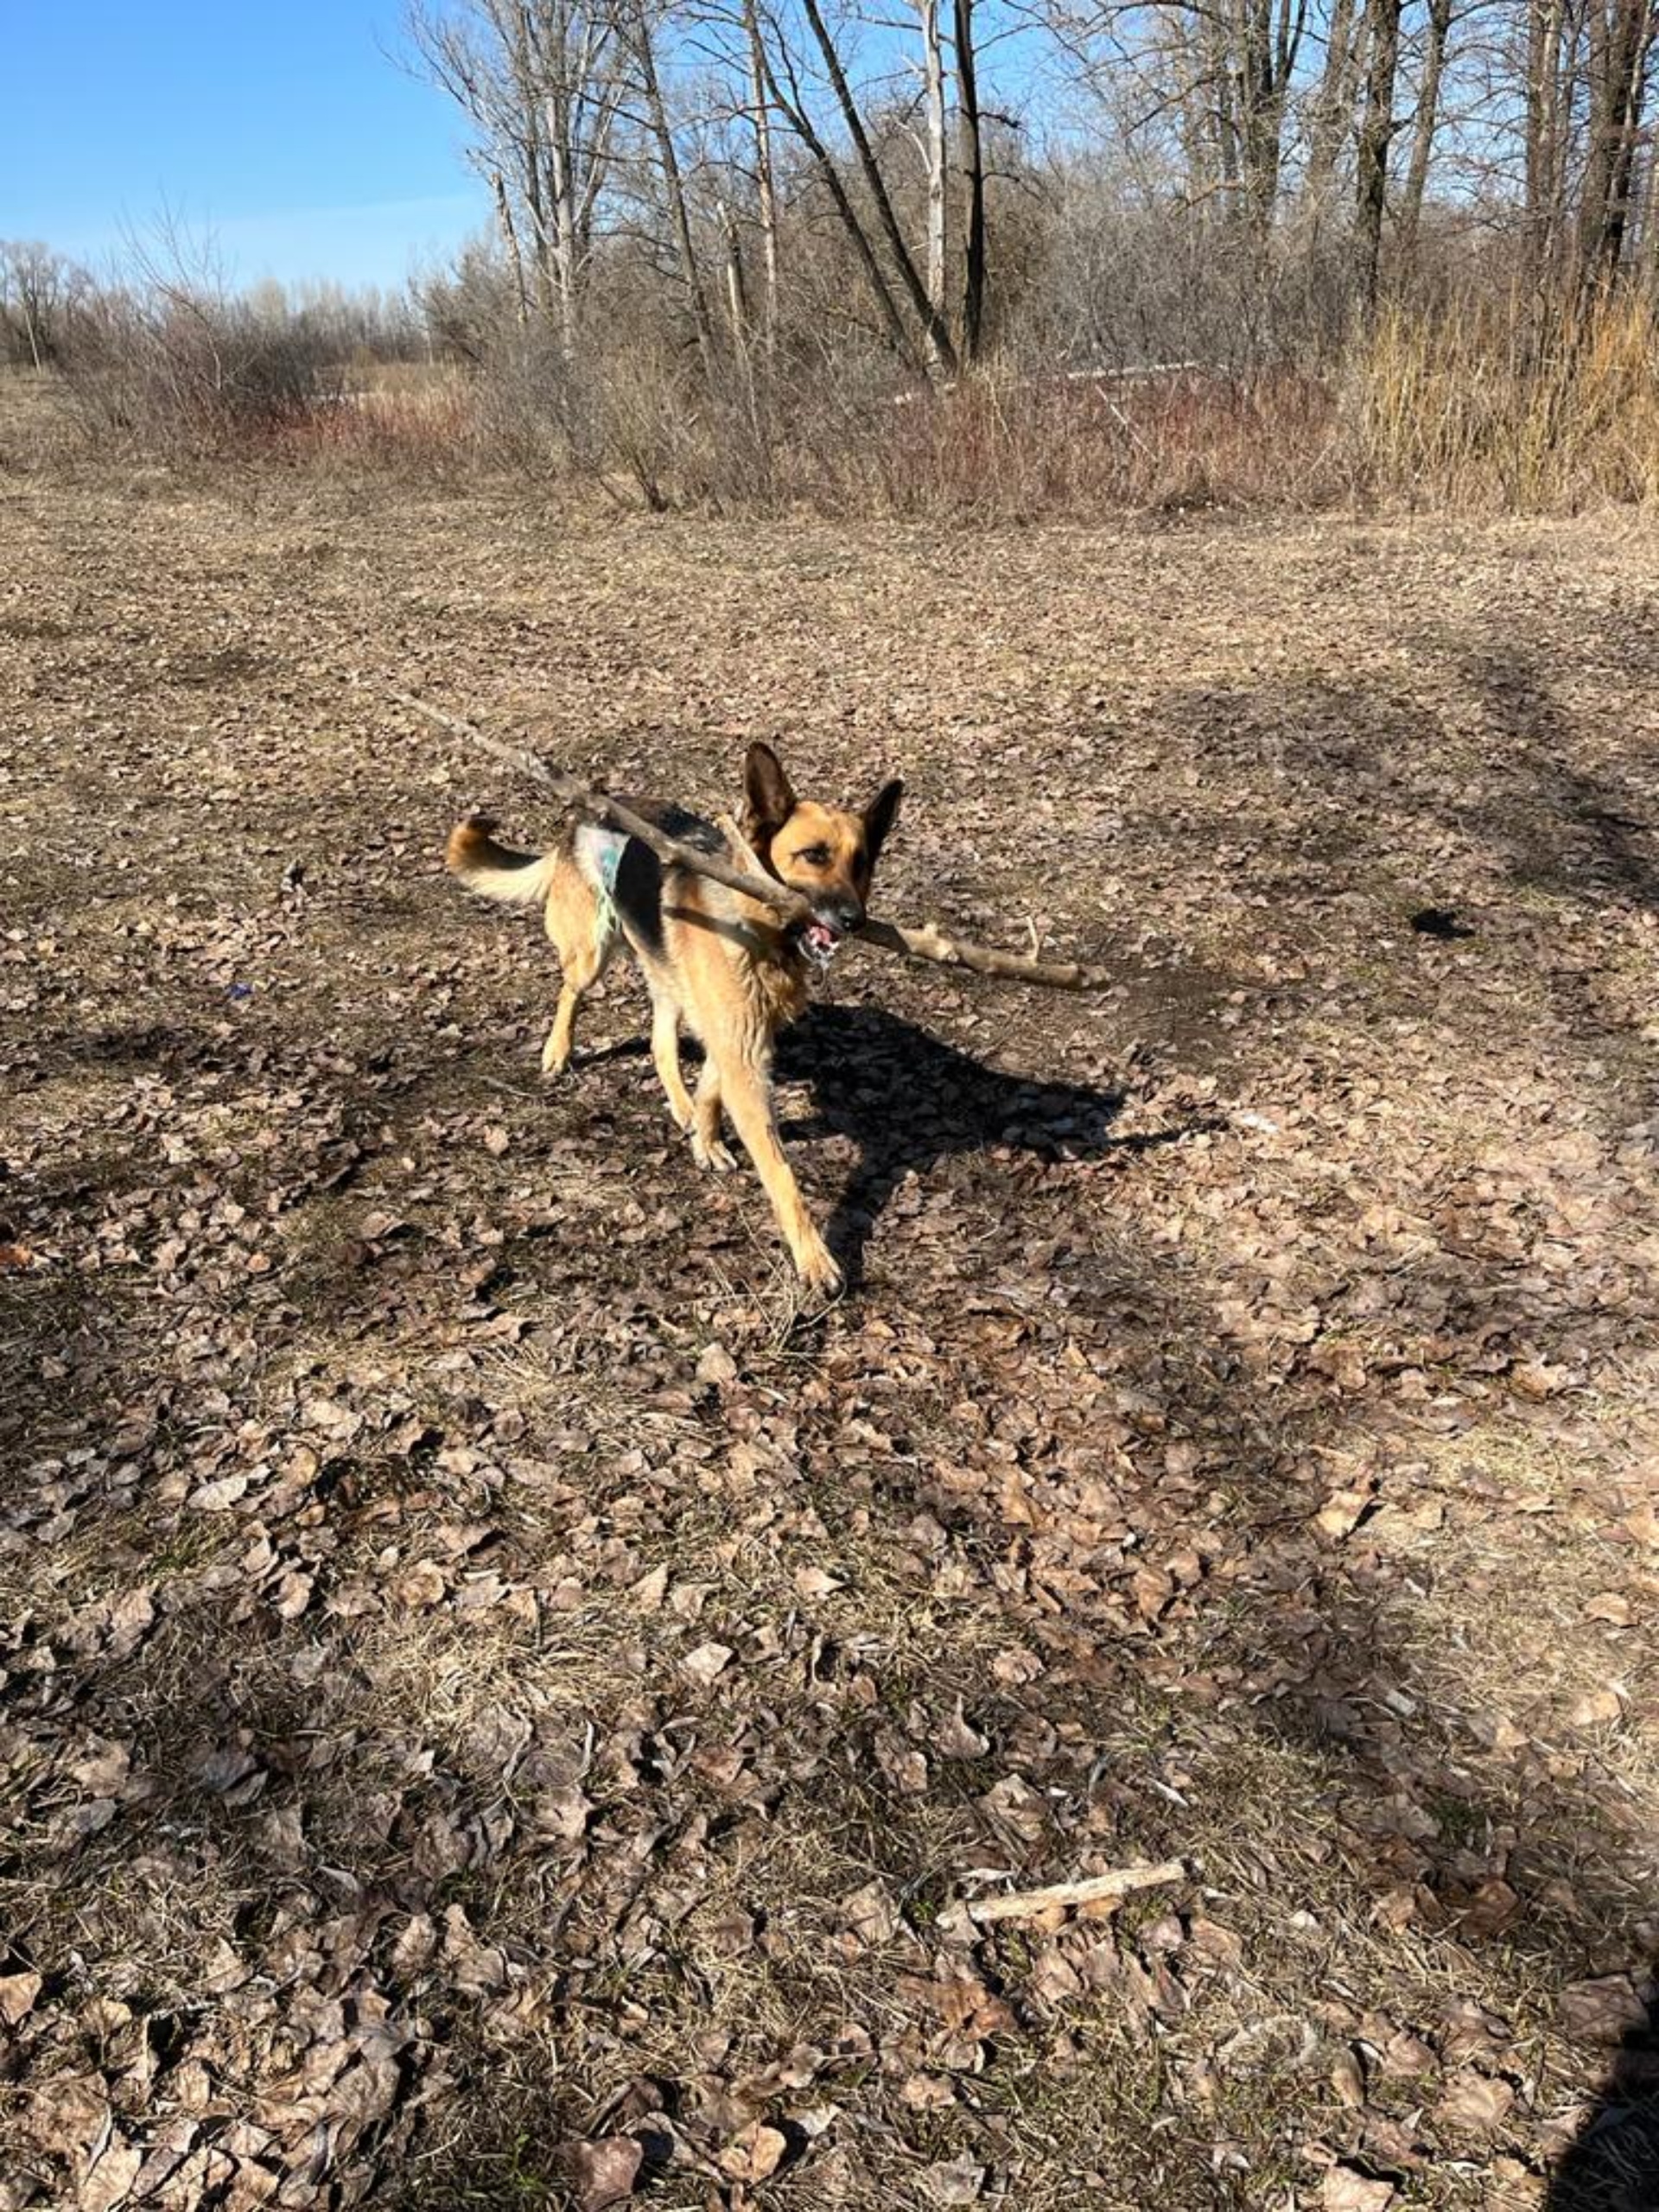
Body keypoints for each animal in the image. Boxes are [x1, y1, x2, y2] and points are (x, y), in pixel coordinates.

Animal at [448, 747, 902, 1292]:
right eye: (813, 855)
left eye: (862, 863)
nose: (855, 920)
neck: (756, 924)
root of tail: (586, 813)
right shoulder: (743, 1057)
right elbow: (781, 1173)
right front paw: (814, 1257)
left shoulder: (740, 1038)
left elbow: (709, 1086)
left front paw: (705, 1137)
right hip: (592, 953)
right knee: (569, 993)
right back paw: (557, 1050)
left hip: (668, 979)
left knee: (660, 1043)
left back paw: (680, 1105)